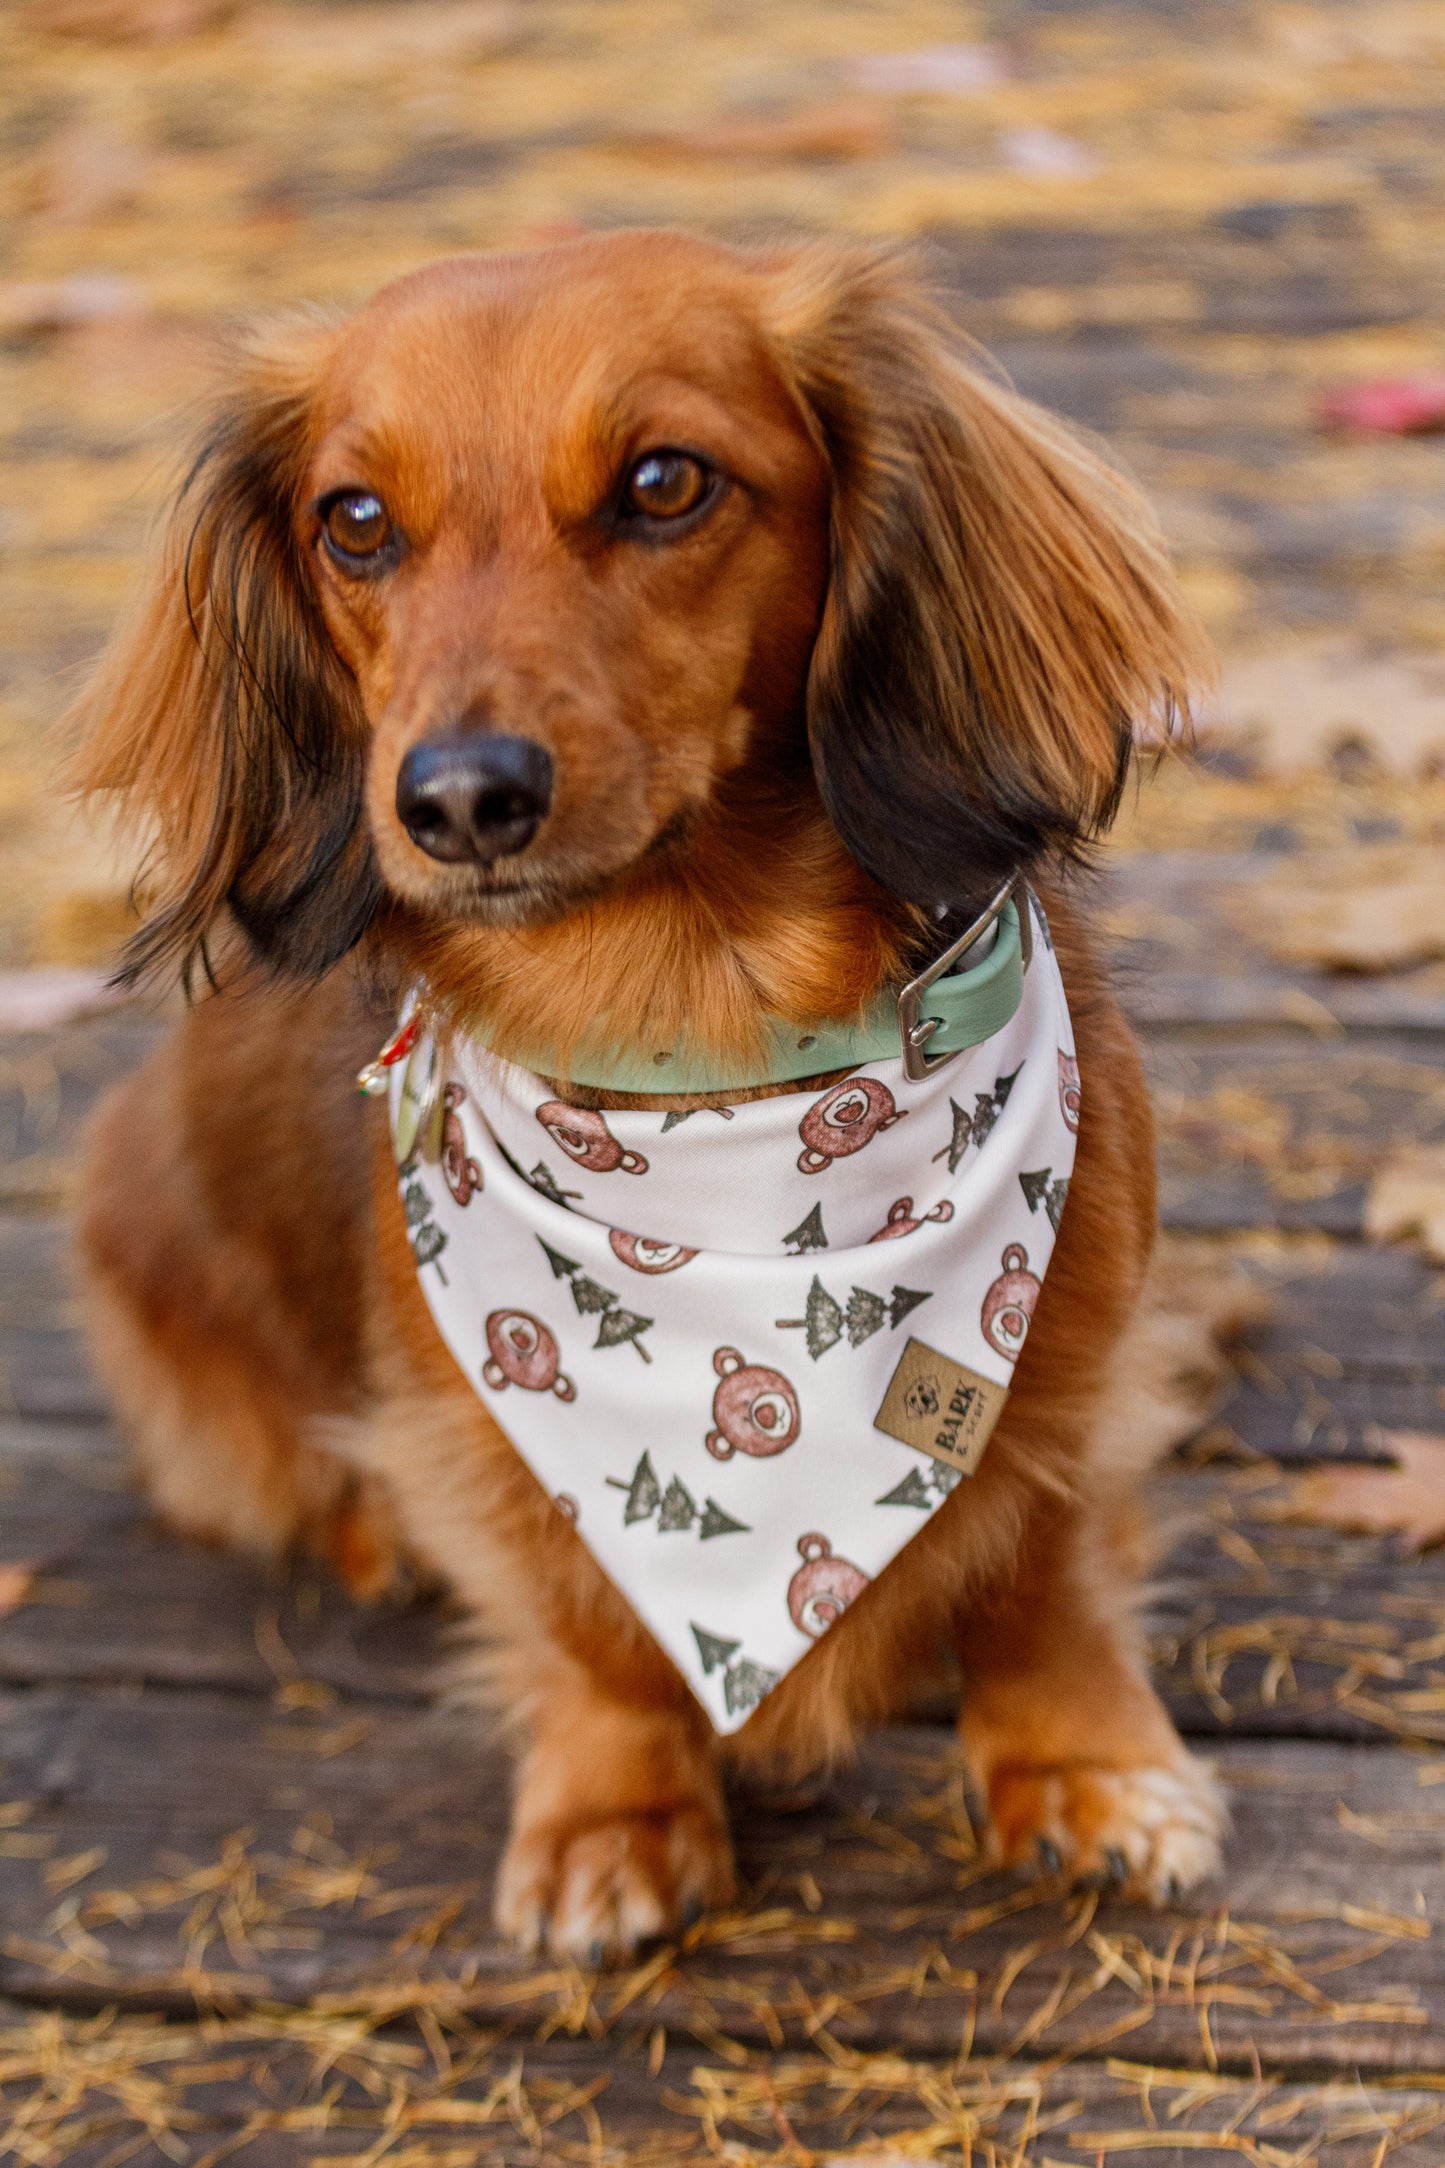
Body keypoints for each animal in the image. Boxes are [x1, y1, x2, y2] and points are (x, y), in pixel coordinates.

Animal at [73, 228, 1230, 1959]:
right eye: (356, 522)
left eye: (665, 481)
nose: (459, 799)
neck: (706, 1057)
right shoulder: (493, 1425)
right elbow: (587, 1624)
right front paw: (612, 1812)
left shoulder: (1073, 1349)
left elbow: (1040, 1564)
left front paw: (1085, 1764)